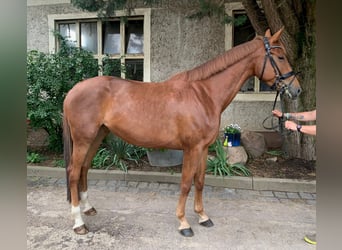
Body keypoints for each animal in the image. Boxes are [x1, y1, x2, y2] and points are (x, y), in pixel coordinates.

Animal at [62, 27, 300, 236]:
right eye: (280, 57)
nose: (296, 89)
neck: (203, 95)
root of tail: (72, 90)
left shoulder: (202, 148)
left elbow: (200, 181)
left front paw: (203, 217)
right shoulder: (191, 149)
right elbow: (186, 183)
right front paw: (184, 223)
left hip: (97, 135)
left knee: (84, 168)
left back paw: (88, 208)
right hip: (83, 139)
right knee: (73, 172)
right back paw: (78, 223)